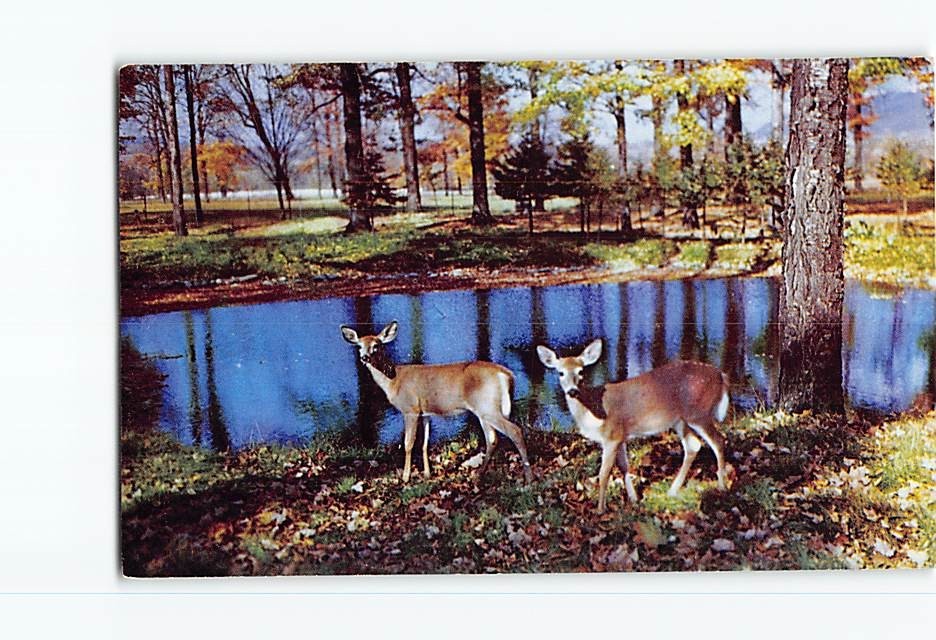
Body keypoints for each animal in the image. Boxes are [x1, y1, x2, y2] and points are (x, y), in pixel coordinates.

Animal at [341, 321, 533, 484]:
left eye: (377, 346)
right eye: (359, 346)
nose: (365, 358)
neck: (393, 381)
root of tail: (507, 375)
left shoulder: (410, 409)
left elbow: (408, 444)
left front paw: (405, 477)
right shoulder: (425, 412)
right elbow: (425, 443)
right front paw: (427, 474)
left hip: (488, 407)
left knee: (515, 431)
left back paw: (528, 479)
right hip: (485, 410)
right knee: (492, 439)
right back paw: (479, 476)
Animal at [536, 338, 733, 514]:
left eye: (581, 371)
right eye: (560, 372)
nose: (572, 391)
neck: (593, 409)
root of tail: (722, 376)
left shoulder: (612, 435)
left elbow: (604, 474)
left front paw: (600, 509)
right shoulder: (620, 436)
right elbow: (624, 467)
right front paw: (633, 499)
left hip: (698, 413)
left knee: (718, 440)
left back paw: (722, 487)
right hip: (680, 419)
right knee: (694, 445)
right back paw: (672, 490)